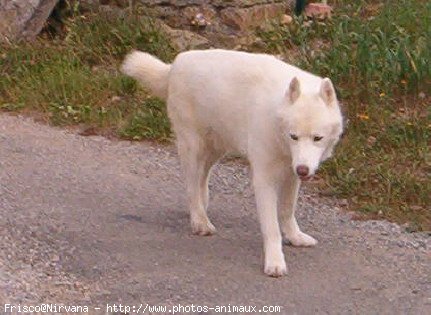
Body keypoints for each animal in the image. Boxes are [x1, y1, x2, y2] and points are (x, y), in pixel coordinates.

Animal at [121, 48, 344, 276]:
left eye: (317, 138)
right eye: (294, 137)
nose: (303, 170)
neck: (275, 117)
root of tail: (176, 63)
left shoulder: (291, 176)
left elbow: (287, 211)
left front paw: (295, 237)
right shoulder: (264, 179)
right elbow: (272, 228)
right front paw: (275, 262)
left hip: (215, 150)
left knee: (202, 179)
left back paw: (202, 206)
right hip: (193, 148)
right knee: (191, 185)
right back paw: (200, 221)